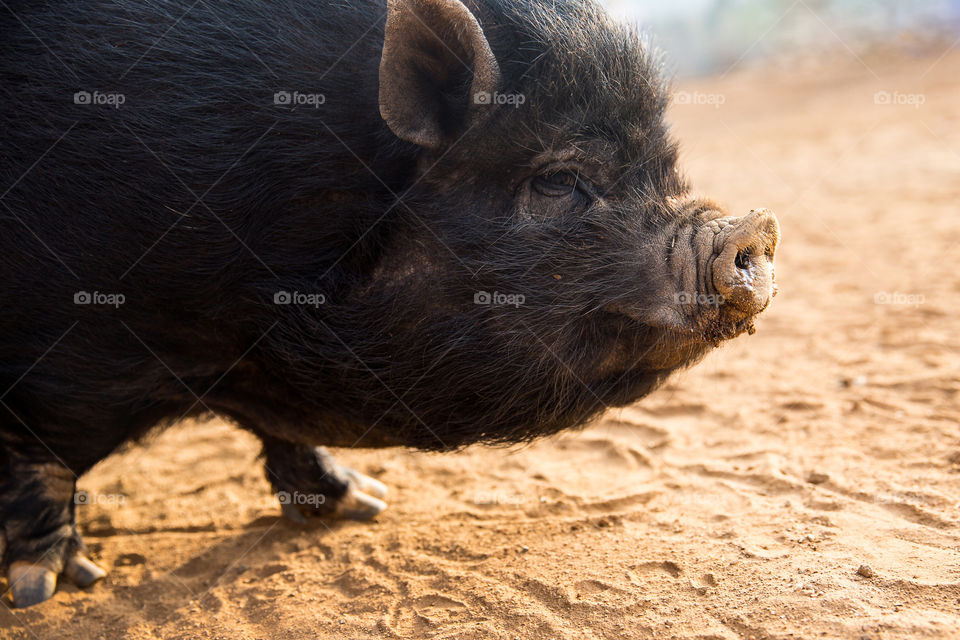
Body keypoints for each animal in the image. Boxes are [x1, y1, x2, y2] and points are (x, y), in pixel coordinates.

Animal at [0, 0, 779, 607]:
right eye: (559, 179)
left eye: (667, 168)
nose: (753, 229)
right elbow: (39, 450)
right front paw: (52, 588)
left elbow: (283, 432)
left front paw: (365, 505)